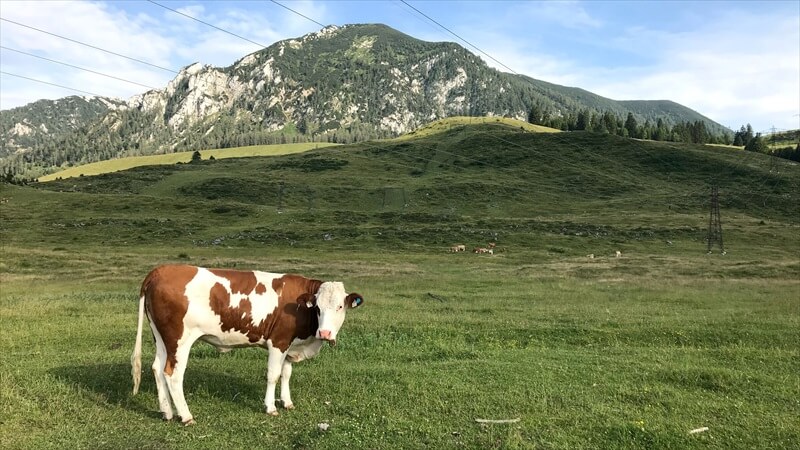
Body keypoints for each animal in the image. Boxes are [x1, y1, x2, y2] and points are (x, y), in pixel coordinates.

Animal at [132, 262, 366, 424]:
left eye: (340, 307)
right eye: (317, 307)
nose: (325, 332)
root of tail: (160, 270)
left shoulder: (290, 345)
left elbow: (286, 374)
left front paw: (287, 402)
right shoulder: (278, 341)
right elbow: (273, 375)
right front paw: (270, 407)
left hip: (162, 338)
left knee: (157, 368)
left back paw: (167, 412)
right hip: (180, 340)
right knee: (172, 374)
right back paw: (186, 415)